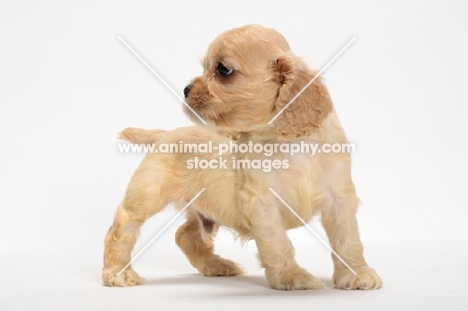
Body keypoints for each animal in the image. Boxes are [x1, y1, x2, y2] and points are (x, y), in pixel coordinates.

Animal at [102, 25, 380, 292]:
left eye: (223, 70)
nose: (185, 90)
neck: (287, 143)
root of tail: (165, 134)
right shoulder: (261, 202)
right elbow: (278, 242)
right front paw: (291, 277)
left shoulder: (339, 197)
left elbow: (348, 240)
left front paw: (357, 274)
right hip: (146, 195)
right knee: (123, 225)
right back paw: (118, 274)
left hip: (204, 211)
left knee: (186, 236)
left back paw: (217, 265)